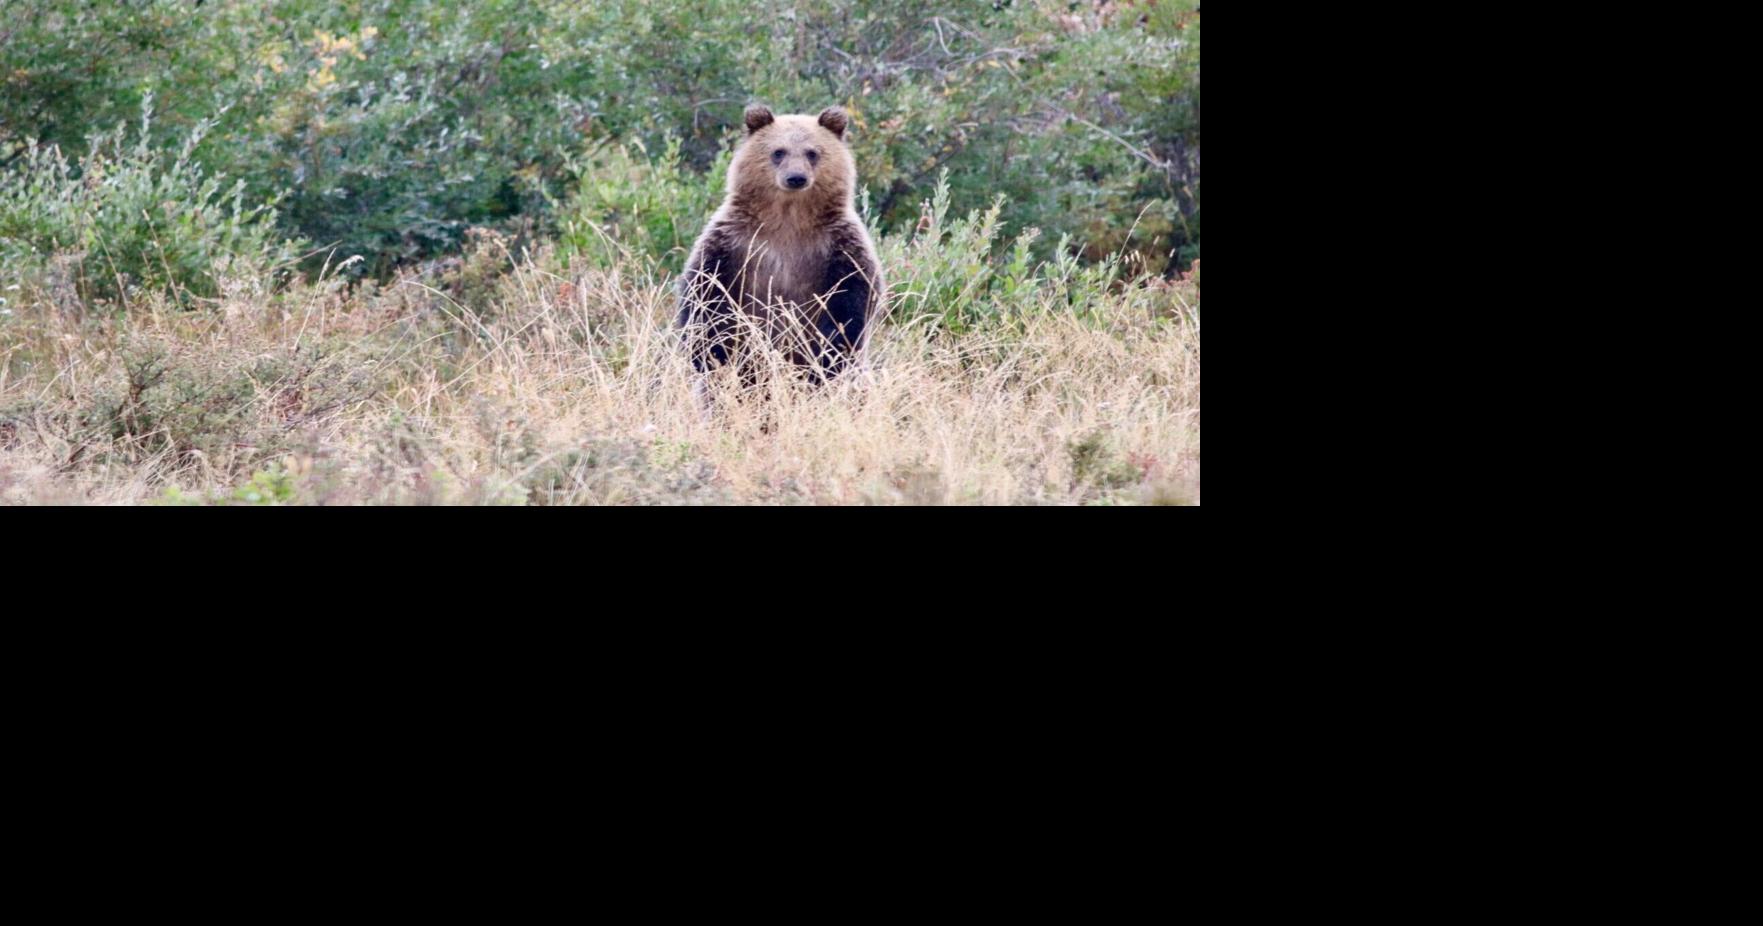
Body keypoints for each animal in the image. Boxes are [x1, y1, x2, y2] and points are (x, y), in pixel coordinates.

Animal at [676, 104, 885, 385]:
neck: (788, 217)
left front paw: (829, 354)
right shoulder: (734, 243)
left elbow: (852, 298)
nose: (795, 177)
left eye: (812, 152)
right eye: (778, 151)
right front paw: (710, 352)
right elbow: (706, 292)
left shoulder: (838, 246)